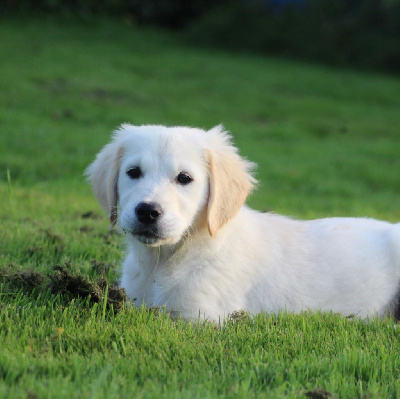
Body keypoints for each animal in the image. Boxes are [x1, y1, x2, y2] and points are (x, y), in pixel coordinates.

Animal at [86, 125, 400, 322]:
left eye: (185, 178)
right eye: (133, 172)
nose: (147, 211)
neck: (163, 261)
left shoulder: (198, 317)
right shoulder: (133, 301)